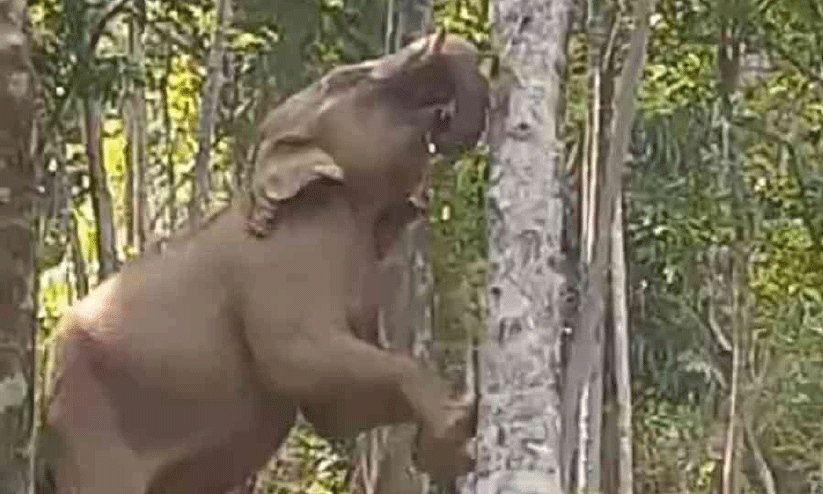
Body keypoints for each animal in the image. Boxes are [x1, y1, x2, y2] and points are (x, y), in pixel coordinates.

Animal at [39, 31, 488, 494]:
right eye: (350, 78)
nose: (442, 116)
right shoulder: (281, 264)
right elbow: (296, 361)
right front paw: (459, 424)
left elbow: (336, 413)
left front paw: (446, 448)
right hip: (90, 422)